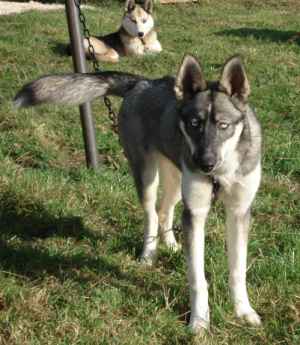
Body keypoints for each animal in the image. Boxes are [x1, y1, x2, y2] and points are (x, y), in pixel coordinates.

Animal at [14, 55, 262, 334]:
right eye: (194, 124)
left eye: (223, 125)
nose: (204, 164)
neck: (222, 172)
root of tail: (141, 83)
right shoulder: (196, 212)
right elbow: (198, 279)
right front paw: (199, 321)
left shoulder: (239, 212)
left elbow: (238, 270)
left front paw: (244, 312)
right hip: (147, 177)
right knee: (152, 213)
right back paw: (149, 254)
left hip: (175, 179)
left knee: (165, 210)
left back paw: (171, 245)